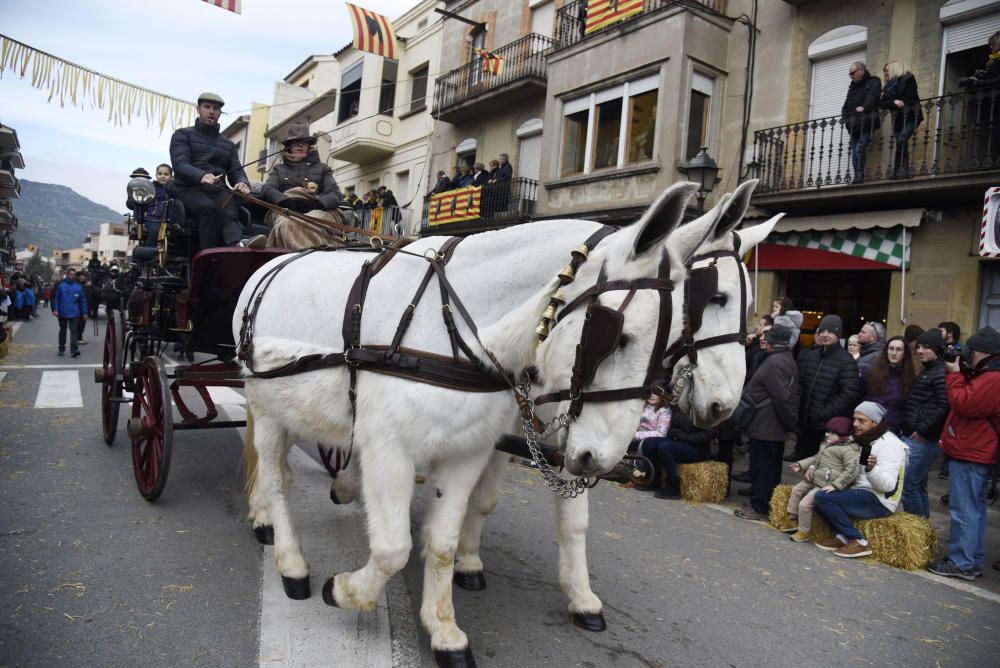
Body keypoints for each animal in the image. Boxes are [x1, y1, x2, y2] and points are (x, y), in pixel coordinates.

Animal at [236, 180, 744, 664]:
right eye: (616, 336)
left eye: (674, 335)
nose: (601, 461)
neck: (452, 331)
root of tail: (267, 267)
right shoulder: (389, 448)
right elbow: (394, 547)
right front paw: (344, 590)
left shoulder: (475, 447)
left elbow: (447, 536)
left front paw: (445, 628)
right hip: (267, 407)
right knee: (277, 478)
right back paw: (288, 558)